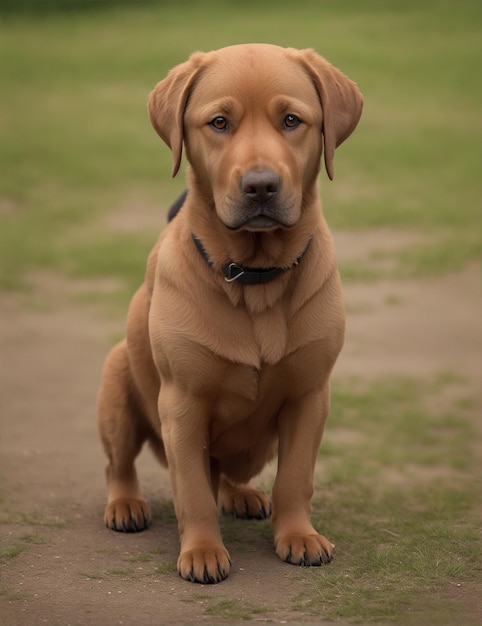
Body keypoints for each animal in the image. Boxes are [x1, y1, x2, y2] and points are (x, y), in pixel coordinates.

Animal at [98, 42, 362, 580]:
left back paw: (240, 494)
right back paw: (125, 504)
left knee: (224, 474)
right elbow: (192, 491)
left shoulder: (310, 395)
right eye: (219, 123)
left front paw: (298, 535)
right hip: (116, 379)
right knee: (122, 463)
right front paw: (201, 550)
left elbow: (296, 477)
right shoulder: (181, 403)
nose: (260, 185)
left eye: (291, 120)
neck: (255, 278)